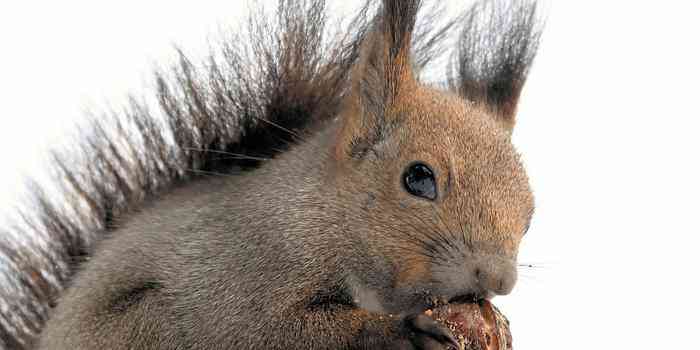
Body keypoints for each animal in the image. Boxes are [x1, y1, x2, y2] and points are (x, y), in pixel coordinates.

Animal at [0, 0, 540, 350]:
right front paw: (403, 330)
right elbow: (276, 329)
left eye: (531, 216)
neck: (327, 215)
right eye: (419, 179)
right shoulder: (251, 270)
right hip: (149, 328)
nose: (500, 279)